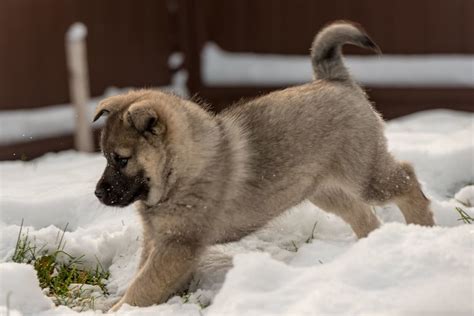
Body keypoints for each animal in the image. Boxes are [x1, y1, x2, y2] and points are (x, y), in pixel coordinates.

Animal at [92, 21, 434, 310]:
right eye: (105, 157)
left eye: (121, 159)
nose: (97, 193)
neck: (181, 171)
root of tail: (335, 80)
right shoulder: (159, 240)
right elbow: (141, 278)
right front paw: (116, 303)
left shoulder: (178, 244)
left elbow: (143, 286)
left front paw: (121, 309)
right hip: (325, 191)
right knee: (363, 215)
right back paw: (372, 250)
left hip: (365, 176)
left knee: (407, 180)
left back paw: (424, 228)